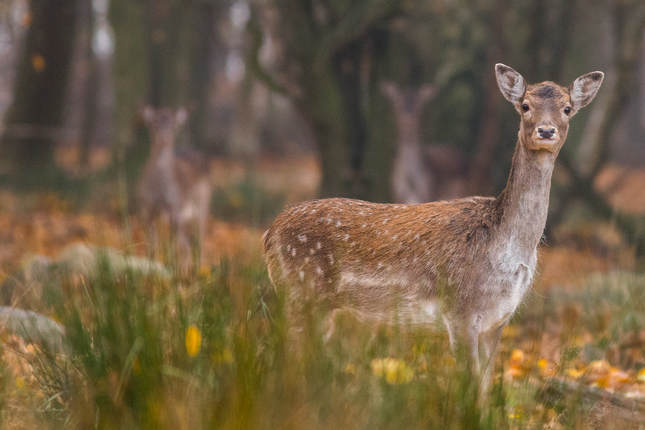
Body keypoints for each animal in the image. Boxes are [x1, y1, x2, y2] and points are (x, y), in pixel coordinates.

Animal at [138, 106, 213, 268]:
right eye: (153, 123)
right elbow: (151, 243)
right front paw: (149, 266)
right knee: (186, 244)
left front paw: (171, 267)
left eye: (173, 125)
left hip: (202, 205)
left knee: (197, 241)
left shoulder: (174, 208)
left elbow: (172, 246)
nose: (163, 136)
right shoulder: (146, 206)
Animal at [262, 64, 604, 394]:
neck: (507, 249)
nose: (545, 130)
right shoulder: (460, 309)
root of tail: (269, 234)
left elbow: (484, 388)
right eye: (525, 105)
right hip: (300, 291)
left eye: (567, 108)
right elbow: (468, 387)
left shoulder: (499, 319)